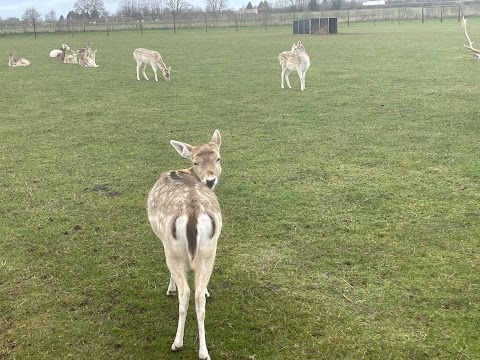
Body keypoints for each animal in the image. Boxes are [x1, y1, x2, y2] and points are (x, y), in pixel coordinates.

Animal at [146, 130, 223, 360]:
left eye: (218, 158)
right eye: (196, 161)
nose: (210, 180)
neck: (186, 171)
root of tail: (193, 213)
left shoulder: (165, 243)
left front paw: (170, 288)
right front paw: (207, 290)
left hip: (174, 251)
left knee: (186, 293)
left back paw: (177, 342)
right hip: (209, 250)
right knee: (198, 297)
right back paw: (204, 352)